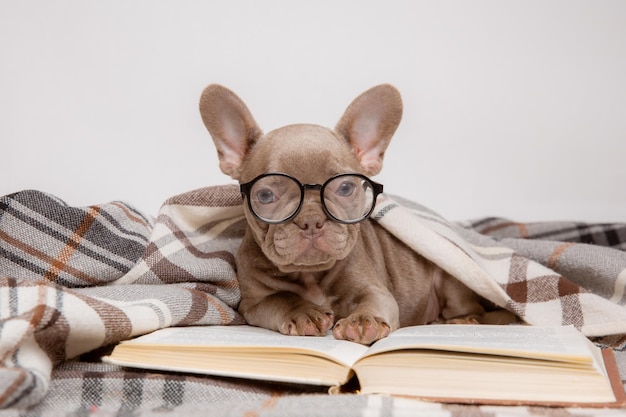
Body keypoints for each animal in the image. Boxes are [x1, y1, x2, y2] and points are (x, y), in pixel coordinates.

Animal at [197, 83, 516, 342]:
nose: (311, 220)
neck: (309, 276)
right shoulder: (254, 303)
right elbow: (281, 300)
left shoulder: (374, 289)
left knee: (468, 307)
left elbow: (371, 302)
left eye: (346, 187)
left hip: (451, 280)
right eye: (265, 195)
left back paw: (462, 320)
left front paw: (364, 320)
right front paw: (304, 312)